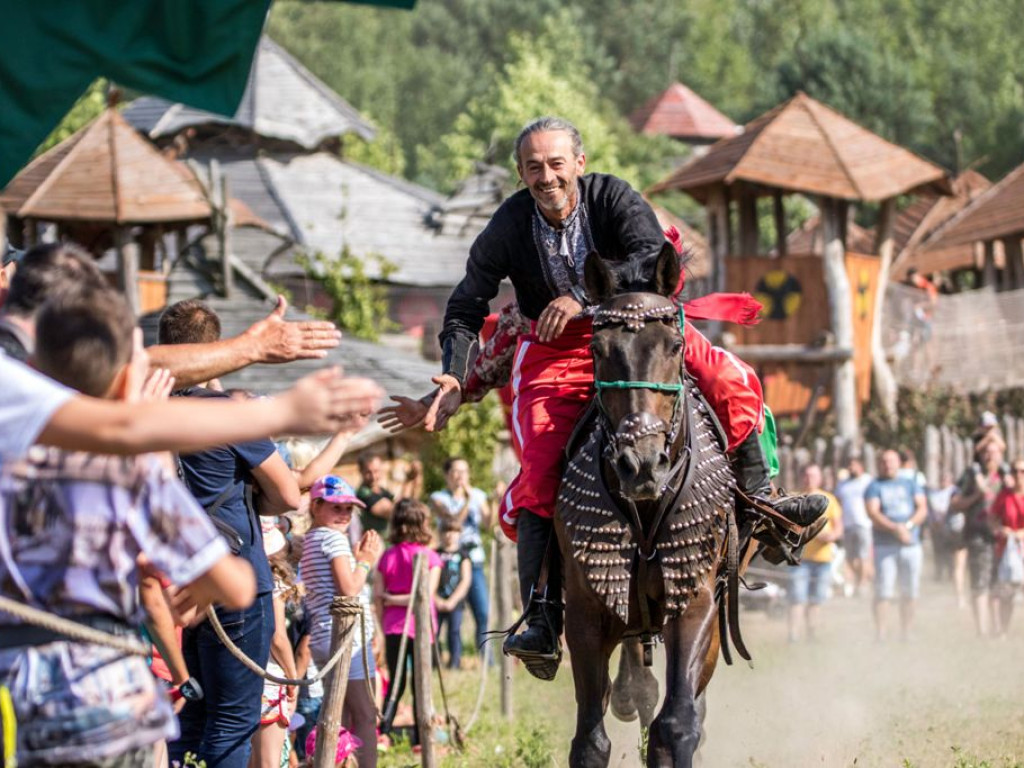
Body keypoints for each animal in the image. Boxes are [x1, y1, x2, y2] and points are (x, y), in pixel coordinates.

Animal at [552, 246, 745, 768]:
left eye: (675, 346)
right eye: (597, 351)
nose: (641, 465)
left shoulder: (696, 602)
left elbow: (676, 725)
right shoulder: (585, 613)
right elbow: (590, 741)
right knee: (631, 693)